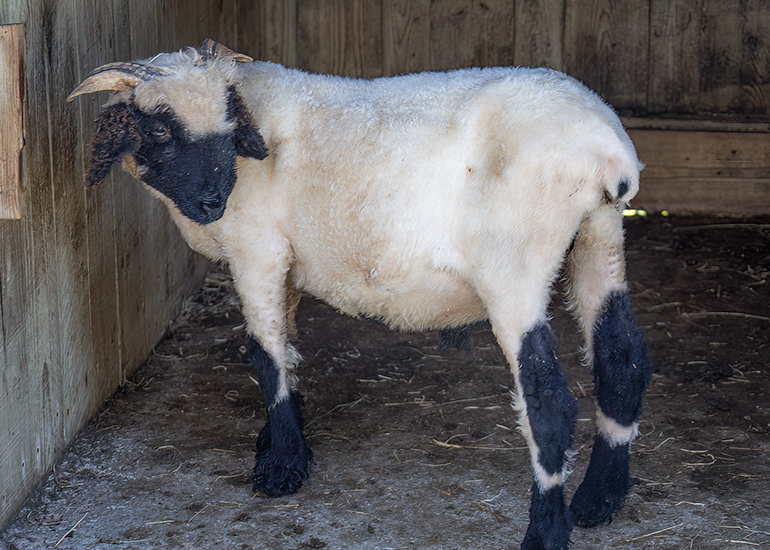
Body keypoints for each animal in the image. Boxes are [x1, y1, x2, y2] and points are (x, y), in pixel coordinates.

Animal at [68, 39, 651, 550]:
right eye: (159, 129)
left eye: (229, 122)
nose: (214, 199)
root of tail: (606, 152)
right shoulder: (290, 265)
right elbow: (288, 346)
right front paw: (282, 439)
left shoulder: (258, 250)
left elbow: (264, 352)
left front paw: (281, 467)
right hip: (598, 239)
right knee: (621, 361)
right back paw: (599, 498)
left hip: (514, 266)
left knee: (548, 400)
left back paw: (545, 531)